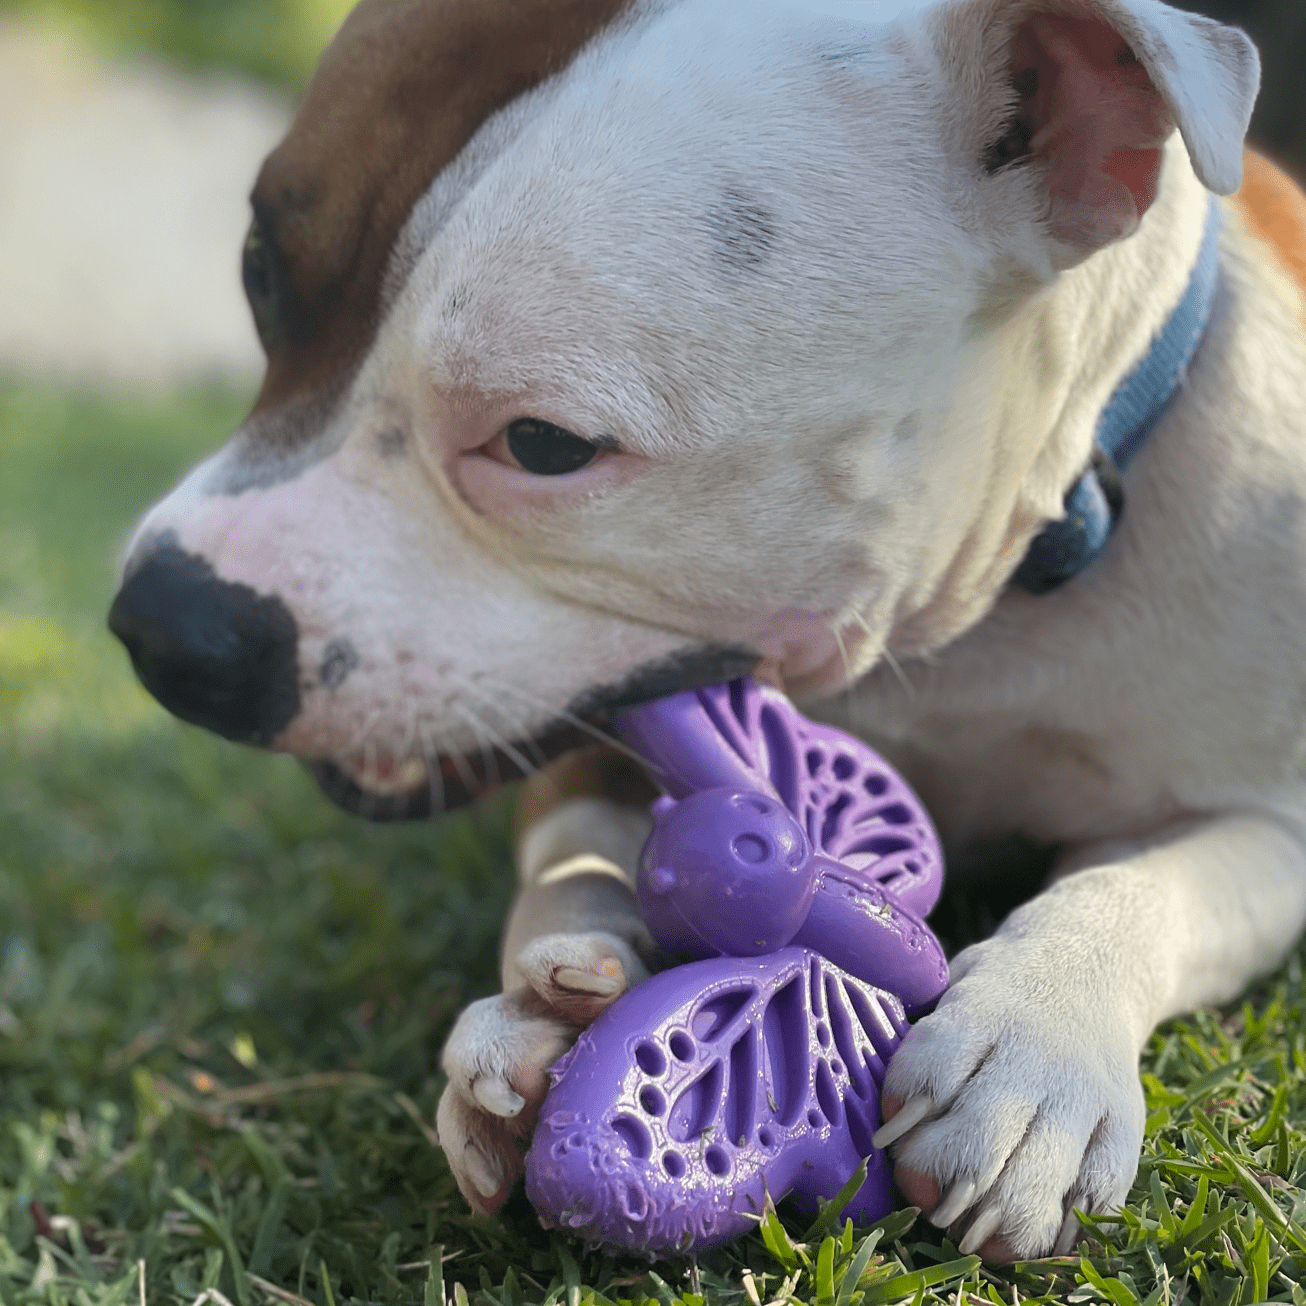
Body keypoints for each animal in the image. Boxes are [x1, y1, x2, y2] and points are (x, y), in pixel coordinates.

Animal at [109, 0, 1306, 1269]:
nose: (163, 620)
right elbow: (570, 860)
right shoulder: (588, 752)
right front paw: (540, 1006)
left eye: (543, 445)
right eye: (258, 277)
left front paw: (1034, 1048)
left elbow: (1150, 885)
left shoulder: (1270, 819)